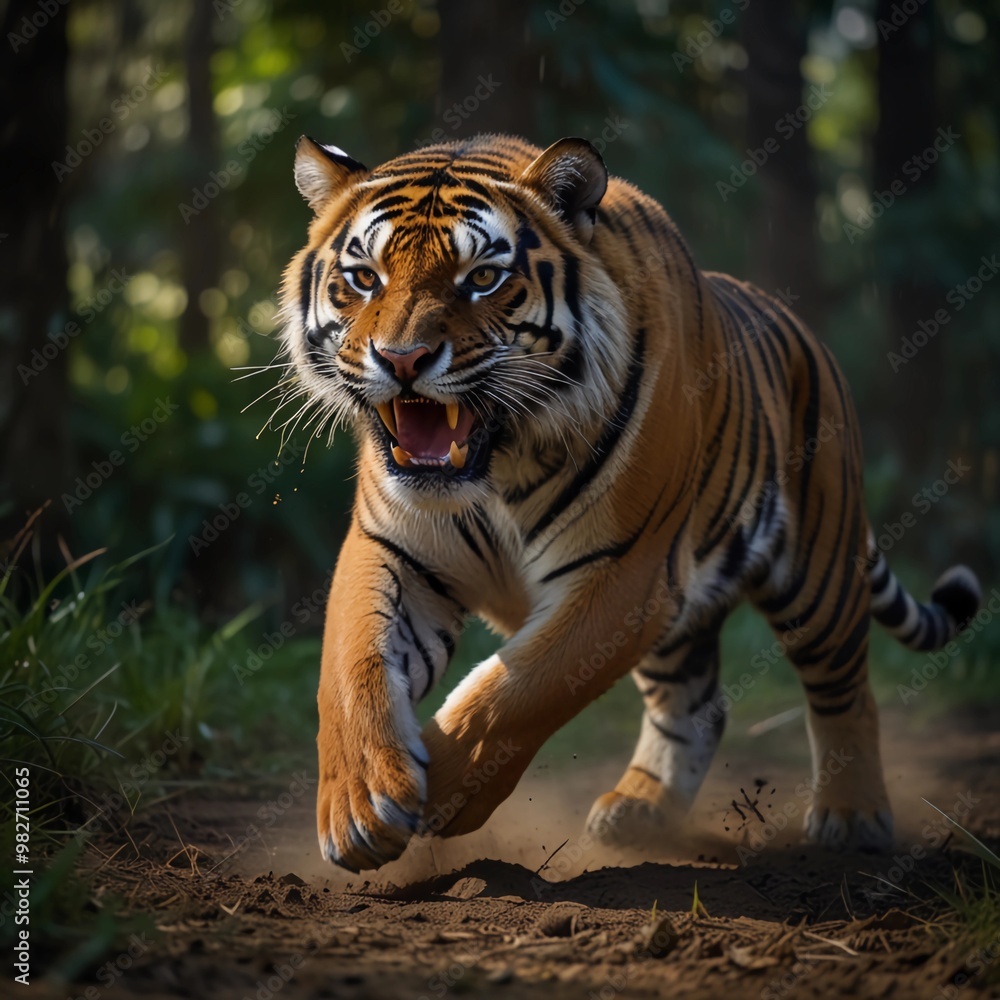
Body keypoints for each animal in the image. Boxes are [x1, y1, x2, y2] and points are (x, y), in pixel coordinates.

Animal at [277, 133, 981, 873]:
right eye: (364, 278)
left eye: (483, 278)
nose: (402, 359)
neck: (498, 464)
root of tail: (802, 330)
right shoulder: (392, 548)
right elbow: (351, 667)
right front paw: (360, 808)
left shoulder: (625, 574)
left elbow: (524, 690)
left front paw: (445, 787)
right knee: (696, 703)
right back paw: (641, 808)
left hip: (819, 574)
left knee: (847, 692)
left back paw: (853, 816)